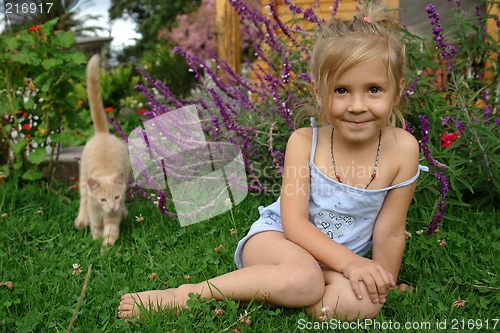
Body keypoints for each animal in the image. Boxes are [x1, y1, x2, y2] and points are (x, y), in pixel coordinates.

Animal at [74, 54, 131, 245]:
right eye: (103, 199)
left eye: (116, 197)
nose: (112, 207)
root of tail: (102, 133)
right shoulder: (94, 205)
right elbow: (95, 221)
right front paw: (95, 236)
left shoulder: (115, 209)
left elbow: (111, 229)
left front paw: (106, 246)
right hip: (83, 177)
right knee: (83, 199)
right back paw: (81, 220)